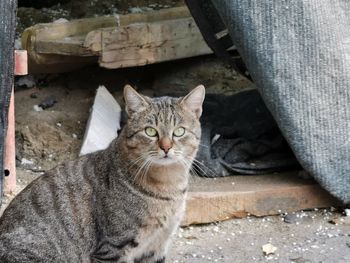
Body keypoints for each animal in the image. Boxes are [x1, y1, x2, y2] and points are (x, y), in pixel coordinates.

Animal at [0, 85, 205, 263]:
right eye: (150, 131)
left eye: (179, 131)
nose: (166, 147)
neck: (168, 185)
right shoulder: (113, 247)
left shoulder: (156, 247)